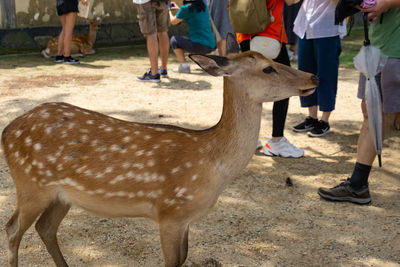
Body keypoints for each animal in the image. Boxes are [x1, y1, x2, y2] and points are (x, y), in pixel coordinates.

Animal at [1, 34, 318, 267]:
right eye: (268, 68)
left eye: (272, 60)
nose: (313, 76)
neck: (212, 164)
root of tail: (7, 131)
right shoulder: (170, 212)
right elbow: (172, 262)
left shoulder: (185, 220)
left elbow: (184, 259)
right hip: (30, 185)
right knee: (13, 228)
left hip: (61, 195)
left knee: (45, 228)